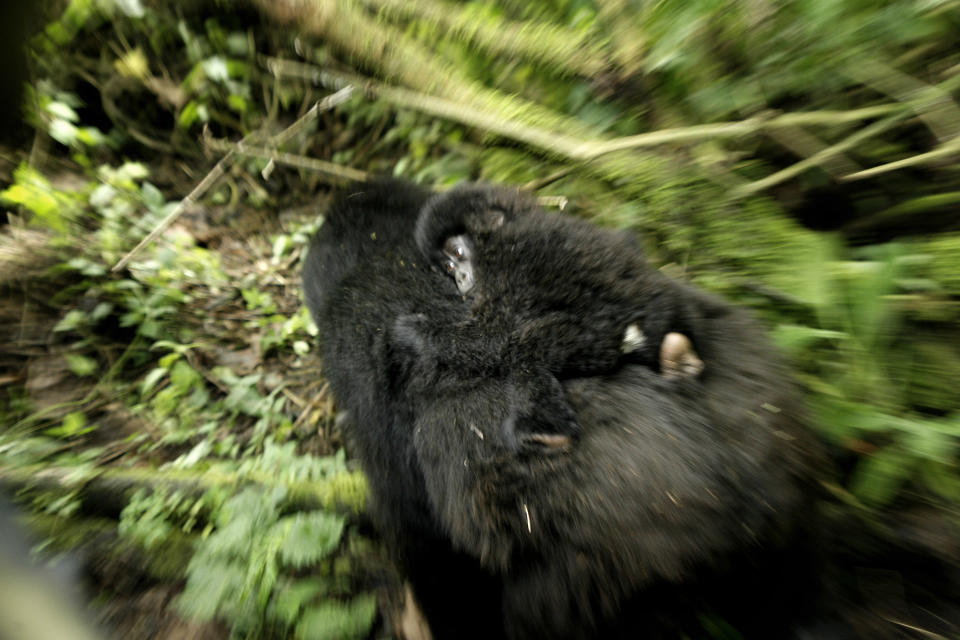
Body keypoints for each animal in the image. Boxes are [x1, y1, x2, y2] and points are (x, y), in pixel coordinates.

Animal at [304, 181, 820, 640]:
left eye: (456, 255)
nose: (460, 277)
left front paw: (412, 334)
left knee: (529, 351)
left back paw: (546, 423)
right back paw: (683, 361)